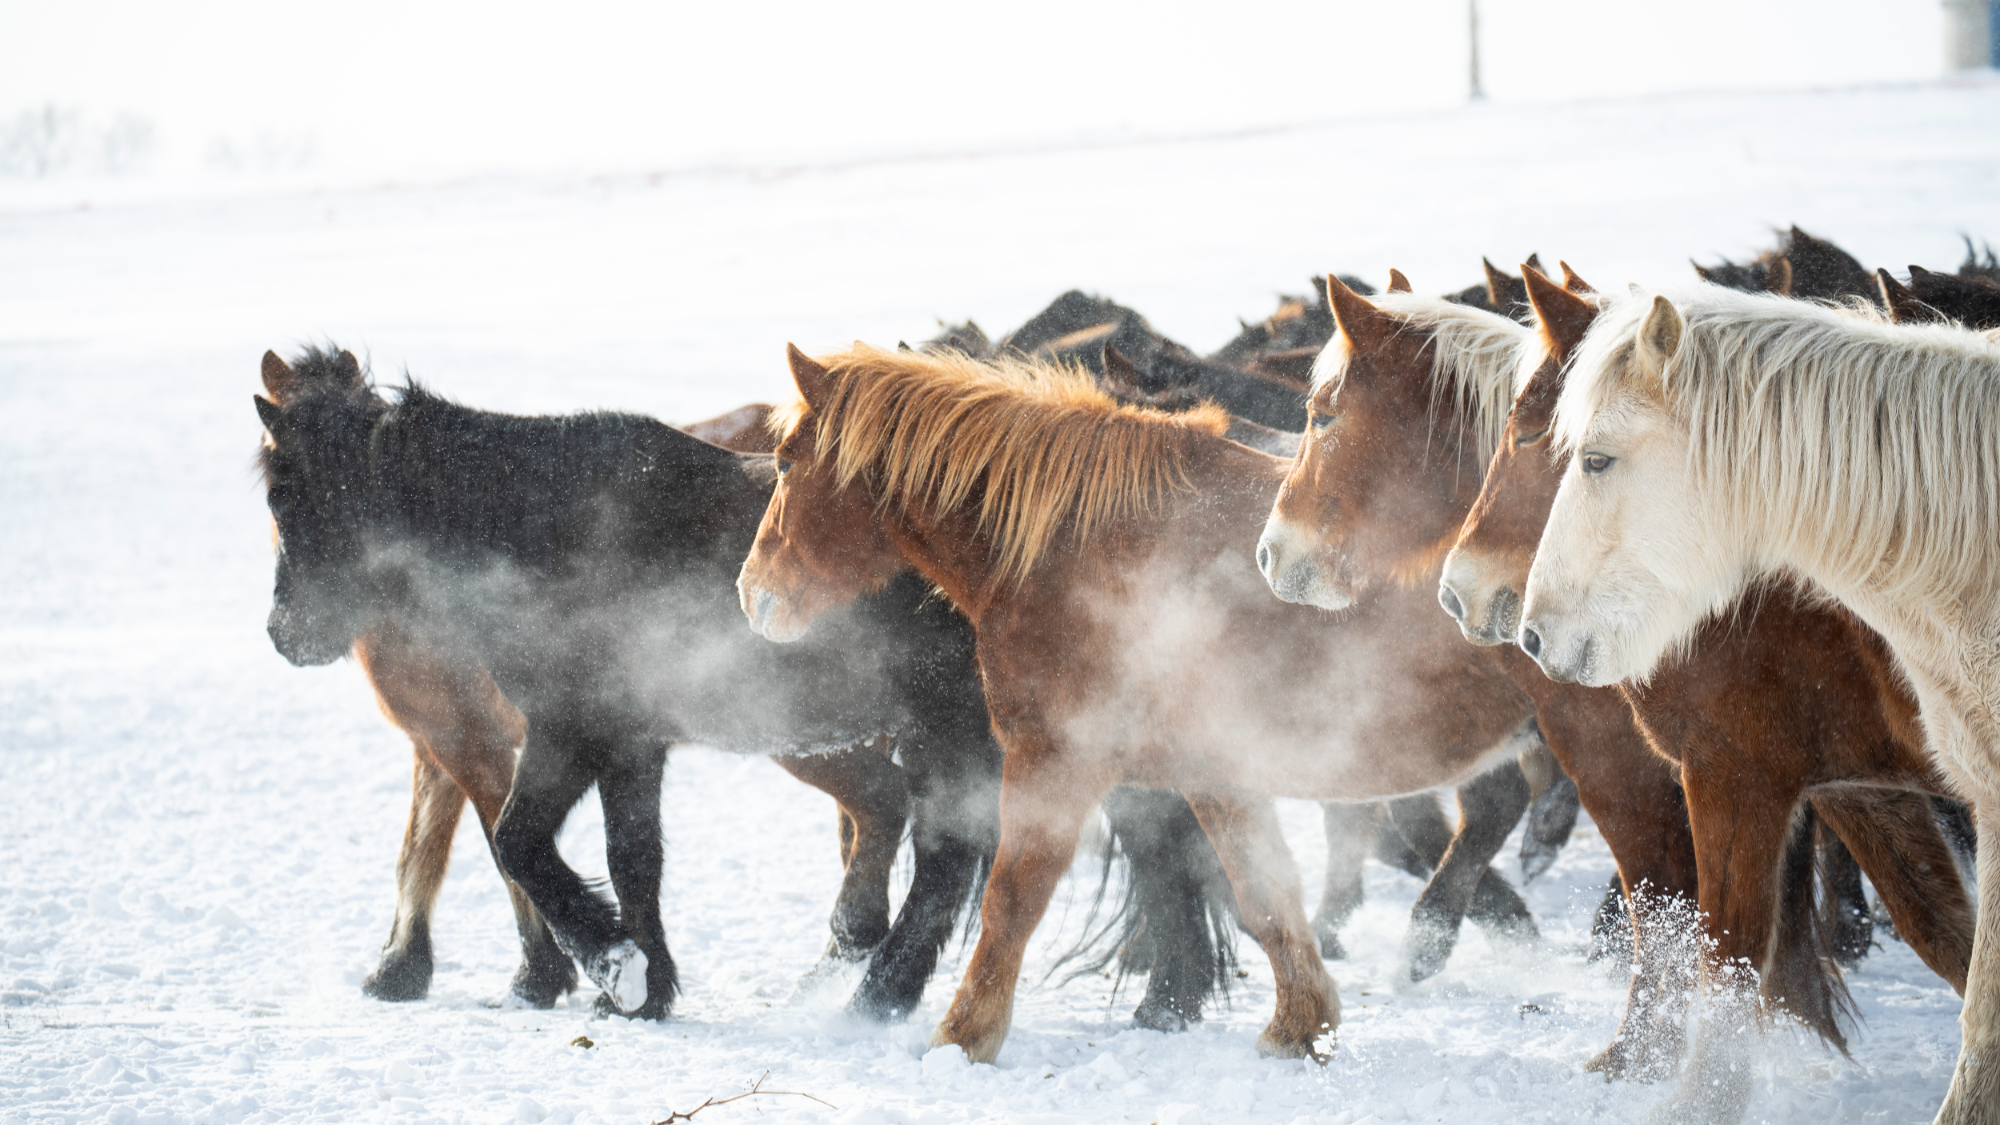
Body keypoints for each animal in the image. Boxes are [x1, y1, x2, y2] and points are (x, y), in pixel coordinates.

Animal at [734, 341, 1693, 1068]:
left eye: (784, 463)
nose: (752, 594)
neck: (1072, 546)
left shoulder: (1058, 760)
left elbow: (1014, 897)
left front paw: (962, 1036)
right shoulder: (1213, 771)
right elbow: (1264, 896)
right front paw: (1299, 1024)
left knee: (1656, 886)